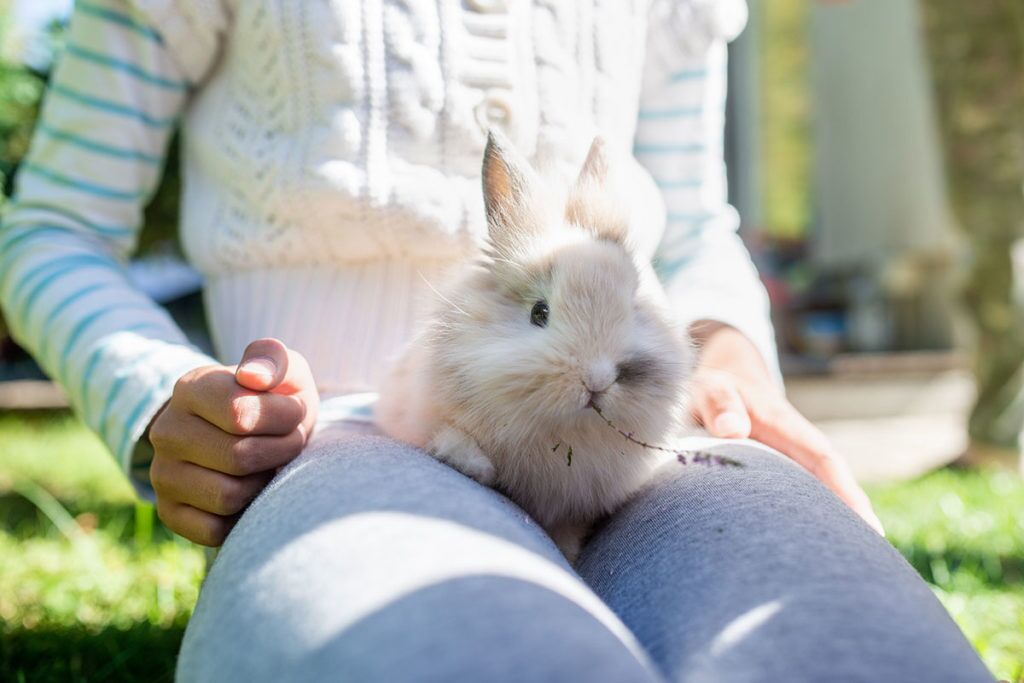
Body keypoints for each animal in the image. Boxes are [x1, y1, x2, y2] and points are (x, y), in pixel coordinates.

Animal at [375, 131, 694, 562]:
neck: (566, 432)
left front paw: (569, 555)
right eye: (539, 312)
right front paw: (476, 467)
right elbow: (451, 439)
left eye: (634, 307)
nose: (597, 381)